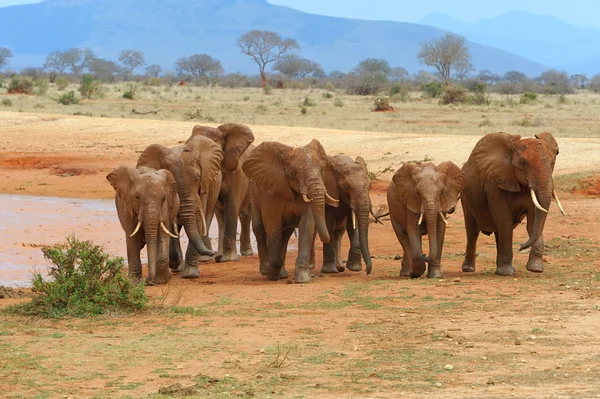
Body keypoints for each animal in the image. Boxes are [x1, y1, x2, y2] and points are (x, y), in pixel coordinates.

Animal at [137, 134, 224, 278]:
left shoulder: (204, 185)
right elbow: (171, 221)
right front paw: (175, 264)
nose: (214, 254)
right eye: (173, 183)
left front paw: (190, 274)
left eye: (197, 179)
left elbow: (197, 220)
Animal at [190, 123, 255, 264]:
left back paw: (246, 253)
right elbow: (212, 210)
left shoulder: (236, 172)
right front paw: (208, 258)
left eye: (217, 155)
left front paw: (229, 259)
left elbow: (231, 205)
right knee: (220, 217)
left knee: (246, 215)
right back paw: (220, 255)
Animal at [243, 141, 338, 284]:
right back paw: (266, 270)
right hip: (253, 194)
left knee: (286, 233)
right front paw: (270, 274)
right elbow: (272, 225)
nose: (326, 239)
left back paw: (281, 274)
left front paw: (303, 280)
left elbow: (307, 225)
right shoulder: (271, 191)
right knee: (259, 228)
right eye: (295, 172)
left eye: (322, 170)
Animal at [460, 133, 568, 276]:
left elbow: (533, 221)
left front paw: (535, 269)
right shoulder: (494, 184)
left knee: (498, 233)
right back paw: (469, 269)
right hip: (466, 197)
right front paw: (507, 273)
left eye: (552, 163)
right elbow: (504, 220)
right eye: (523, 163)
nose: (521, 246)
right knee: (472, 232)